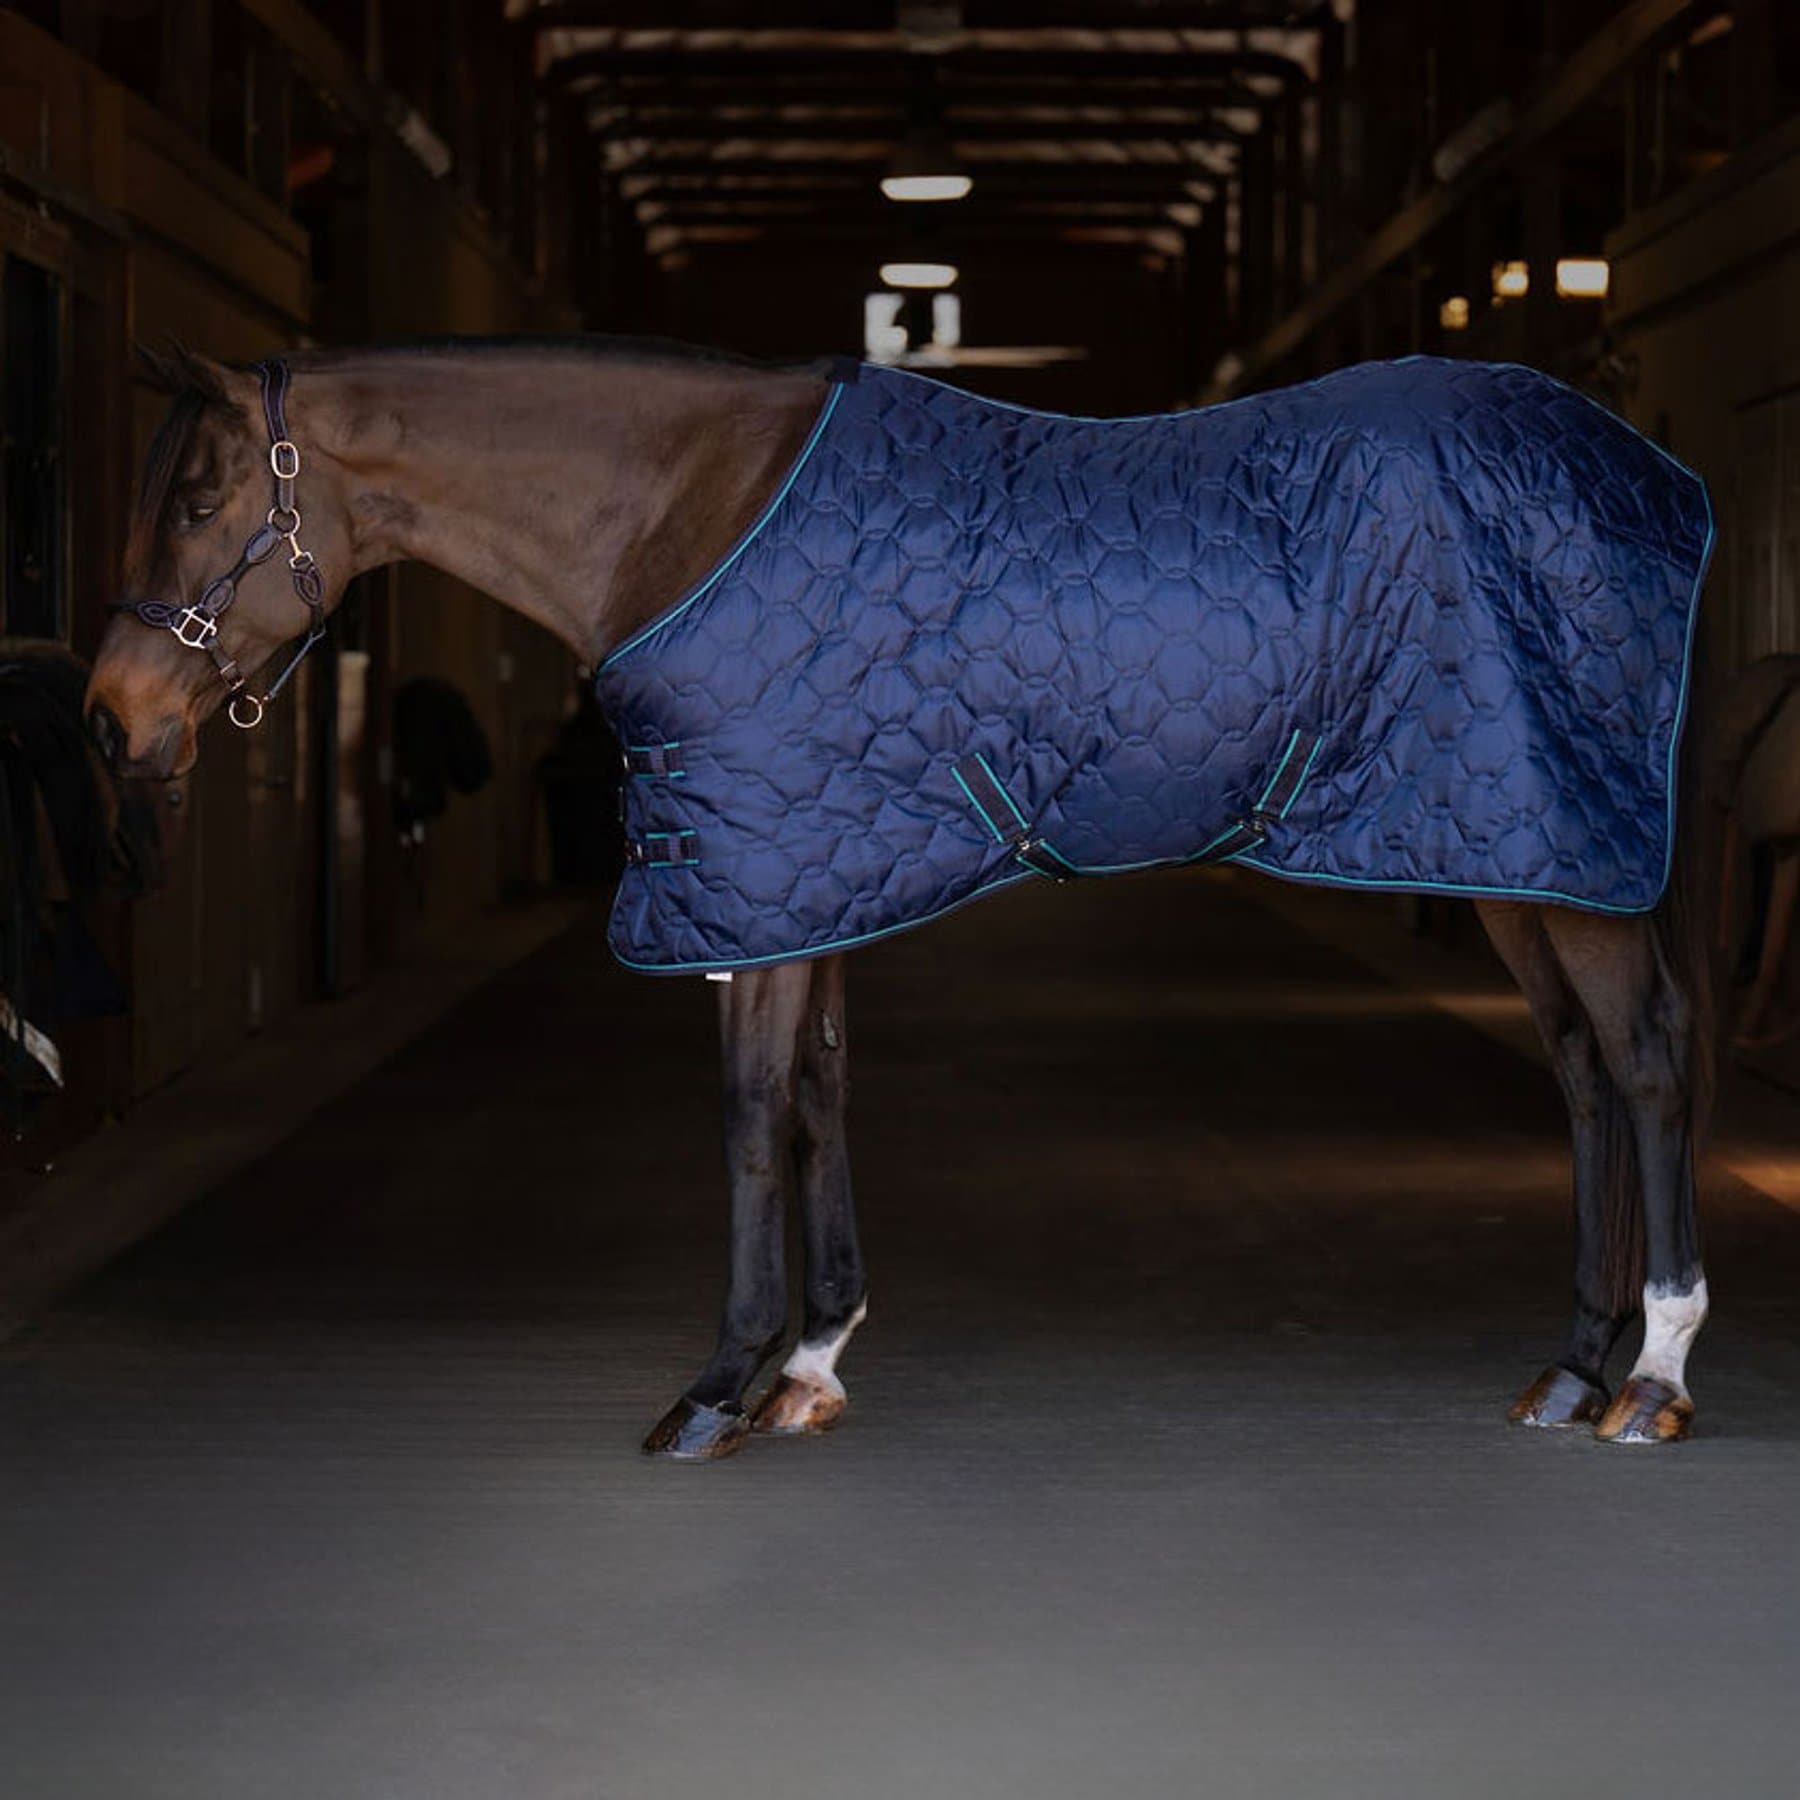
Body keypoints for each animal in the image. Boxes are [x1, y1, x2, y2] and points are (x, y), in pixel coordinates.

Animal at [86, 337, 1714, 1457]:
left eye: (202, 495)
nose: (112, 721)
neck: (691, 511)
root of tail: (1653, 474)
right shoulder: (809, 869)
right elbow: (821, 1093)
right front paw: (810, 1368)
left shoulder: (759, 865)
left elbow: (752, 1114)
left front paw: (717, 1387)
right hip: (1498, 840)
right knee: (1580, 1068)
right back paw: (1572, 1364)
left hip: (1559, 843)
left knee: (1644, 1059)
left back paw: (1653, 1375)